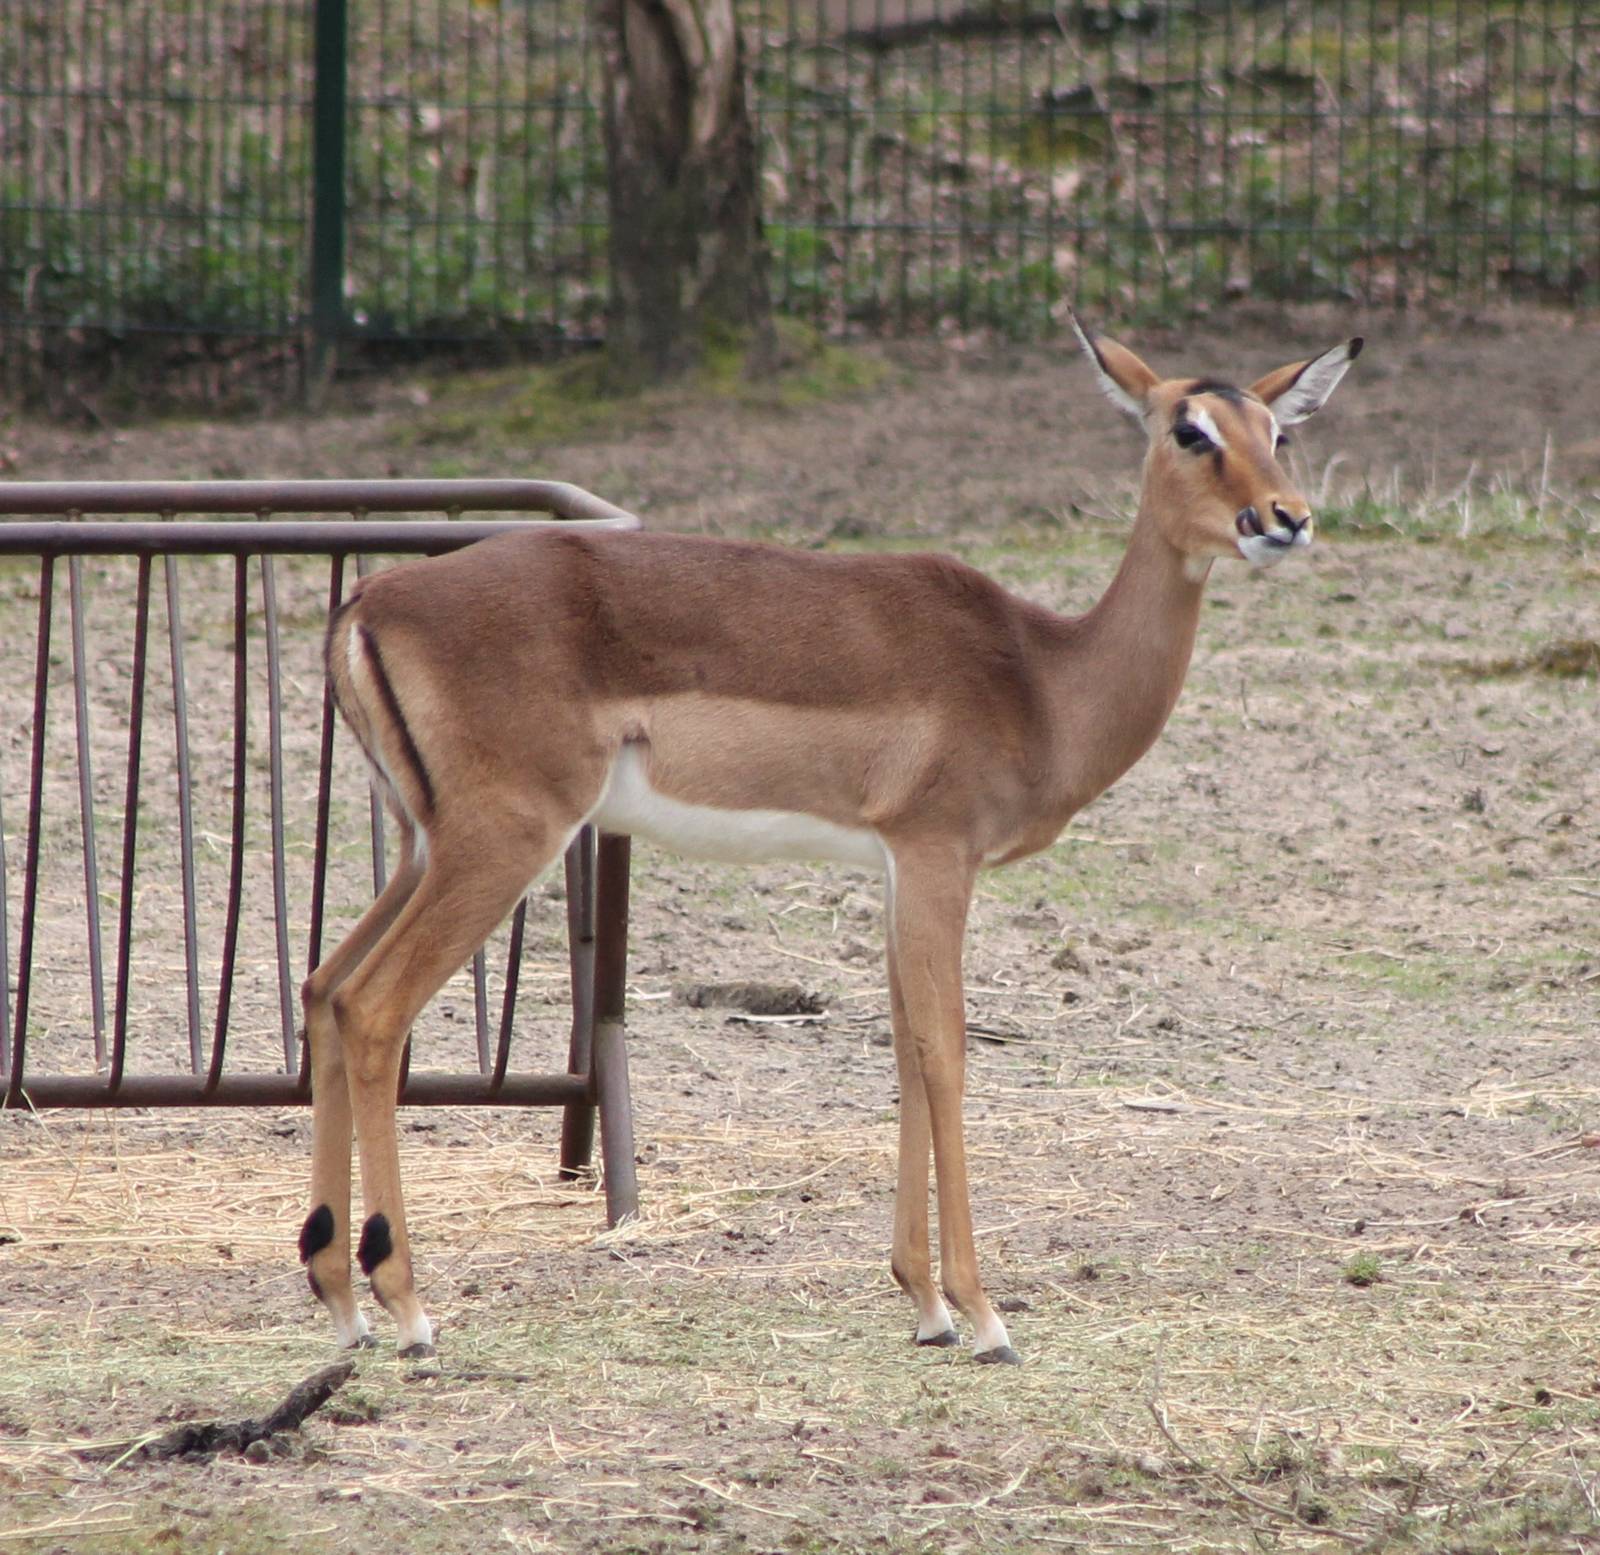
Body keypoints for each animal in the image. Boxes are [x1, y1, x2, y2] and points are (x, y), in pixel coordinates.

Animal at [298, 315, 1361, 1363]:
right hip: (502, 840)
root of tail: (368, 607)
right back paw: (409, 1310)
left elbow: (903, 1047)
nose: (1285, 518)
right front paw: (983, 1315)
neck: (1042, 679)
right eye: (1190, 431)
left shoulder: (893, 867)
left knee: (325, 988)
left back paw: (343, 1300)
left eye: (1280, 430)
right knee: (376, 1008)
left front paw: (925, 1303)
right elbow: (946, 1049)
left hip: (423, 845)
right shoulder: (937, 855)